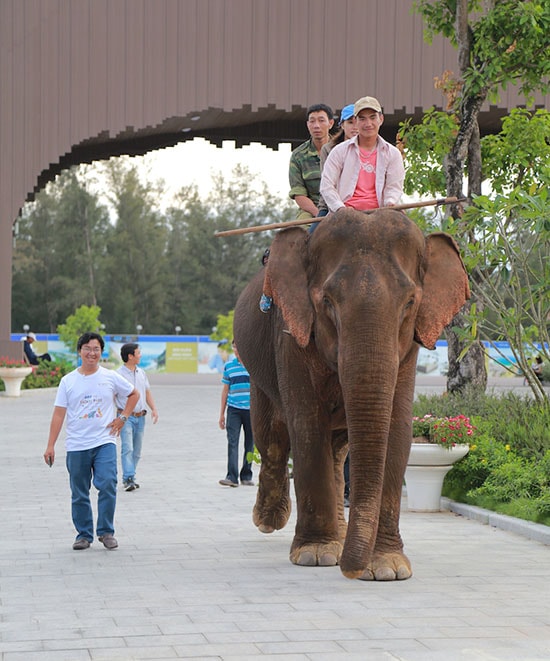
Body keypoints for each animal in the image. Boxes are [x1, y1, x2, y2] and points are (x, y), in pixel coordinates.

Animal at [233, 209, 470, 580]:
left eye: (410, 303)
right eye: (327, 302)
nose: (350, 572)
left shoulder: (409, 350)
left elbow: (397, 430)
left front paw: (387, 567)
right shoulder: (290, 333)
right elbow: (306, 426)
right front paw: (314, 555)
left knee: (335, 450)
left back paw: (339, 535)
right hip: (257, 366)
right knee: (271, 435)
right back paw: (270, 521)